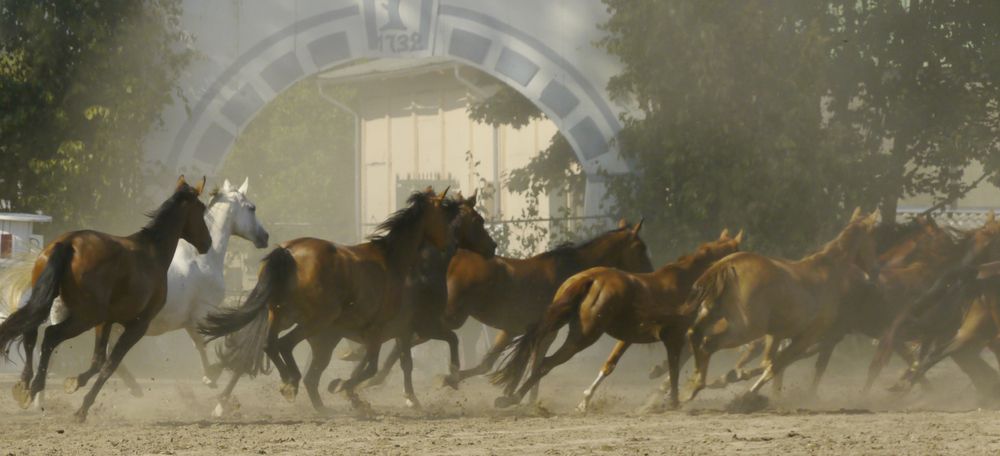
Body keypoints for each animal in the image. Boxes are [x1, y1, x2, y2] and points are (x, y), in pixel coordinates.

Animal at [0, 175, 209, 420]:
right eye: (202, 209)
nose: (208, 242)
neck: (153, 252)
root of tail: (69, 243)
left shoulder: (106, 321)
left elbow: (98, 360)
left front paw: (74, 383)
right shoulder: (137, 326)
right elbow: (110, 364)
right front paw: (83, 408)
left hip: (52, 303)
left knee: (29, 333)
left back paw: (24, 385)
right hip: (84, 318)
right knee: (50, 336)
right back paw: (35, 386)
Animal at [442, 217, 652, 400]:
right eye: (640, 248)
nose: (650, 275)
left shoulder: (513, 330)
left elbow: (491, 364)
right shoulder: (547, 332)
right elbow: (534, 365)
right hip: (454, 315)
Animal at [492, 228, 744, 410]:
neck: (686, 281)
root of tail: (589, 279)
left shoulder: (630, 337)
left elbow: (610, 365)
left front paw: (585, 400)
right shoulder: (674, 336)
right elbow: (674, 367)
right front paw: (672, 401)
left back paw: (512, 398)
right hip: (583, 336)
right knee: (546, 362)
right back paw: (514, 398)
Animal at [684, 208, 880, 400]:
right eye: (873, 239)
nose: (875, 272)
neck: (830, 271)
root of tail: (727, 264)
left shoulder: (778, 335)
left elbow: (771, 363)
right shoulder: (808, 337)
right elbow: (775, 365)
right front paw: (747, 394)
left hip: (714, 314)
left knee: (694, 335)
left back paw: (691, 388)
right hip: (746, 329)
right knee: (709, 343)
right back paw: (696, 387)